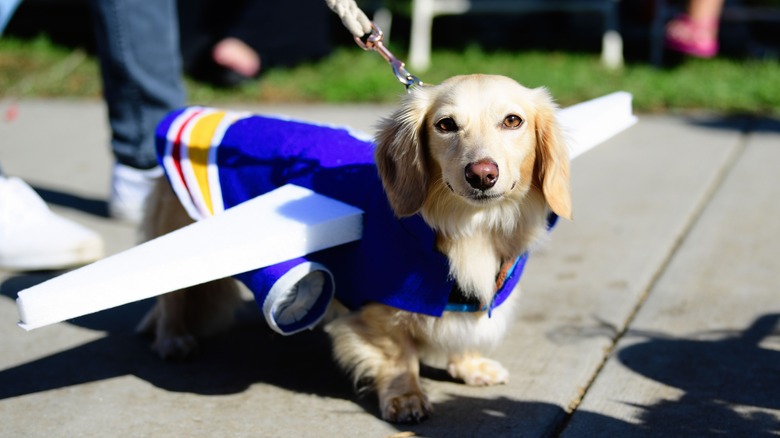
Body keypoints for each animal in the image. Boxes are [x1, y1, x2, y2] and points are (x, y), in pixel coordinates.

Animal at [137, 73, 568, 422]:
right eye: (446, 125)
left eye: (512, 121)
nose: (481, 174)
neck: (472, 227)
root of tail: (190, 114)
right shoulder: (377, 313)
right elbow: (399, 358)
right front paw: (406, 398)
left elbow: (465, 332)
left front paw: (471, 366)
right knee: (171, 300)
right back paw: (172, 339)